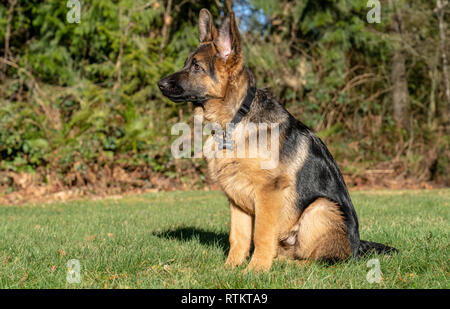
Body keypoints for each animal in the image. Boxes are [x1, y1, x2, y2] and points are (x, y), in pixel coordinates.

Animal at [158, 9, 398, 270]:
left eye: (196, 66)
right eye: (186, 63)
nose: (159, 83)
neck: (236, 119)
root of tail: (357, 248)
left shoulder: (268, 192)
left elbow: (261, 234)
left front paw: (255, 270)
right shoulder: (236, 198)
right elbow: (238, 237)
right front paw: (230, 269)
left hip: (320, 208)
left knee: (323, 261)